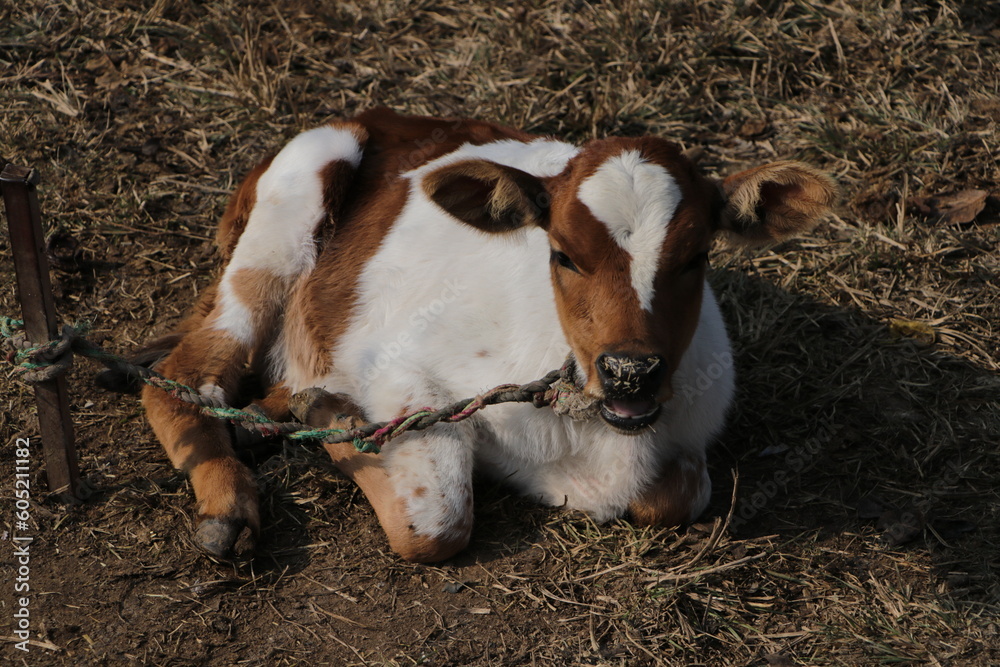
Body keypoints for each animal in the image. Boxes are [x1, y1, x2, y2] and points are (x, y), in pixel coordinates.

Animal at [140, 107, 836, 563]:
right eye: (562, 254)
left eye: (696, 258)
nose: (630, 371)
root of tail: (378, 115)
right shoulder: (399, 369)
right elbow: (437, 524)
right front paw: (336, 420)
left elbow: (681, 495)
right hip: (290, 206)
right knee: (181, 375)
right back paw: (229, 502)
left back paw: (268, 417)